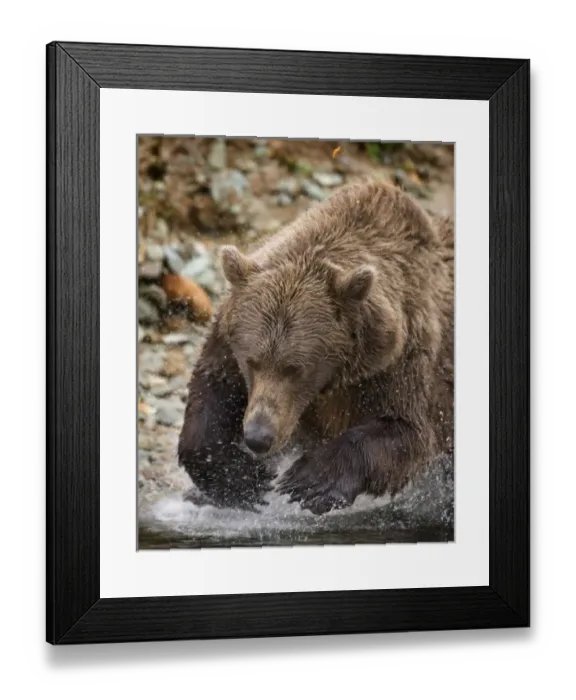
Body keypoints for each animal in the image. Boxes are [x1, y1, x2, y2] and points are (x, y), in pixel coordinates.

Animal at [177, 178, 454, 515]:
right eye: (252, 362)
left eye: (295, 369)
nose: (258, 437)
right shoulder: (228, 339)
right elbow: (212, 388)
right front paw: (241, 478)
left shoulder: (400, 360)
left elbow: (406, 432)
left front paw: (309, 481)